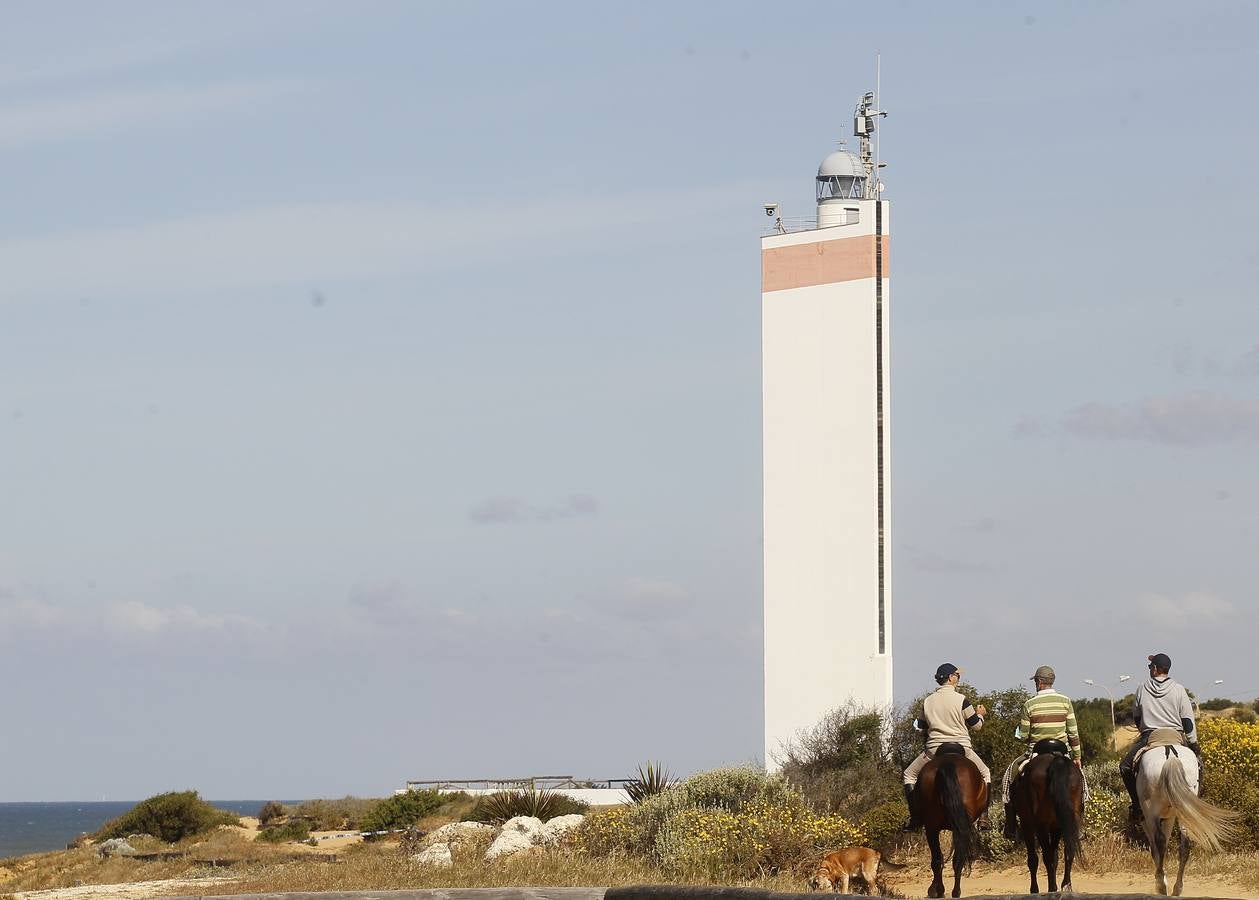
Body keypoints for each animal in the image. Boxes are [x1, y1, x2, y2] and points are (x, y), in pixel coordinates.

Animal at [916, 745, 982, 900]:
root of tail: (948, 761)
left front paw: (934, 889)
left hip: (933, 827)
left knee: (939, 859)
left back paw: (943, 891)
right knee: (956, 859)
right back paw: (954, 892)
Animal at [1007, 745, 1087, 896]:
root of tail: (1055, 759)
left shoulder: (1027, 825)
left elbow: (1033, 859)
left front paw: (1034, 890)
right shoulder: (1056, 827)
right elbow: (1055, 857)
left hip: (1039, 826)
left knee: (1046, 856)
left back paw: (1052, 888)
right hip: (1064, 822)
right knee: (1068, 850)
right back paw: (1065, 885)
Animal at [1138, 745, 1233, 896]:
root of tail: (1169, 754)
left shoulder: (1148, 819)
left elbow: (1155, 849)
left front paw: (1161, 881)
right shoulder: (1169, 817)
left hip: (1150, 812)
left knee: (1159, 842)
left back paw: (1161, 886)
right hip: (1183, 812)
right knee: (1185, 846)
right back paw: (1177, 888)